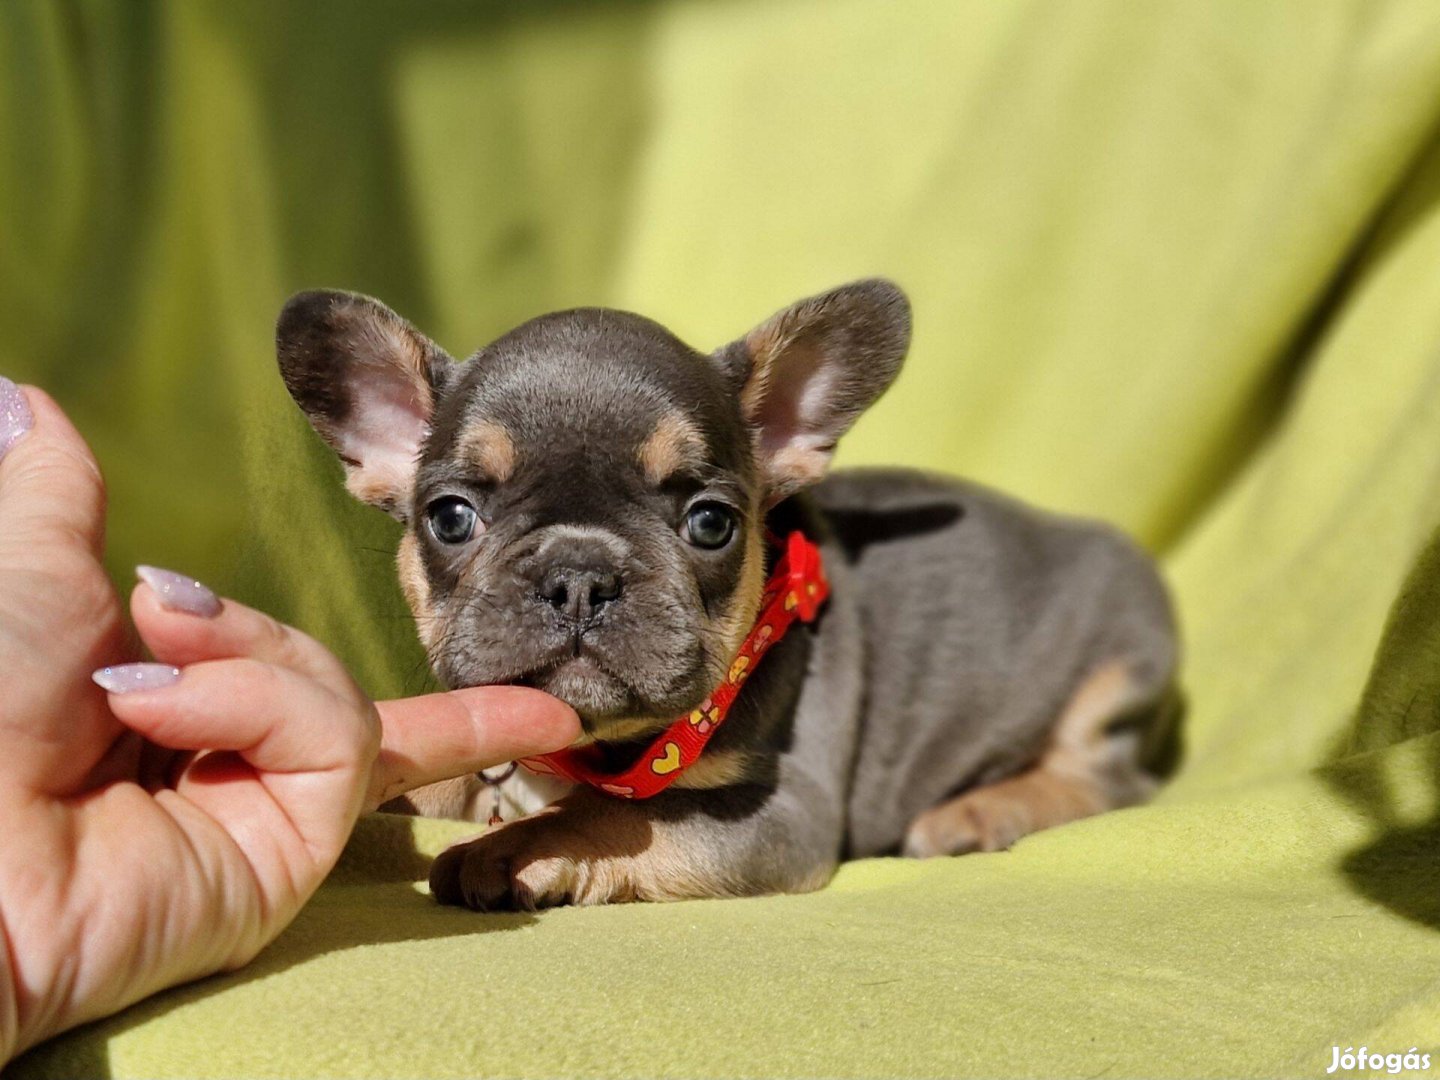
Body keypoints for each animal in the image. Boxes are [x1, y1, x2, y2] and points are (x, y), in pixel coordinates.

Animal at [277, 279, 1179, 911]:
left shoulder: (780, 812)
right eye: (450, 516)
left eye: (712, 523)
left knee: (1106, 780)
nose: (578, 574)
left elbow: (620, 816)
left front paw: (517, 849)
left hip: (1121, 664)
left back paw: (983, 812)